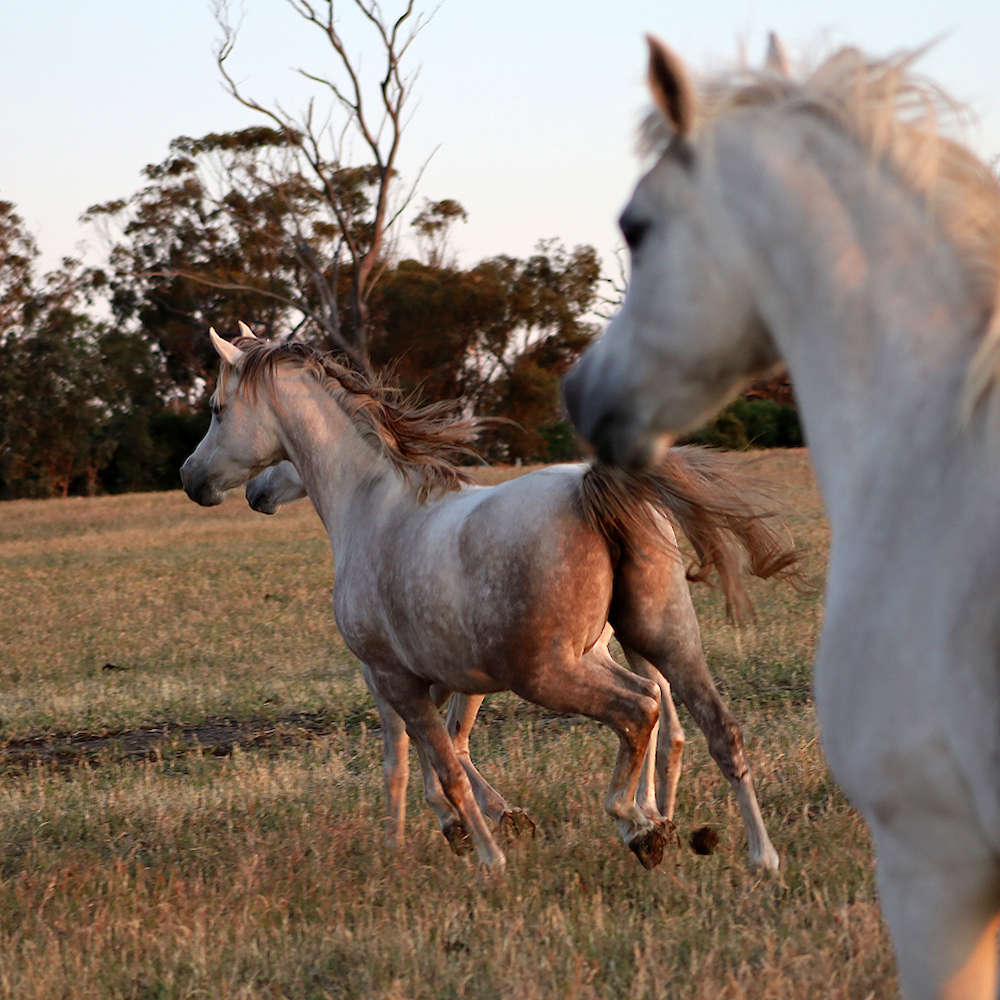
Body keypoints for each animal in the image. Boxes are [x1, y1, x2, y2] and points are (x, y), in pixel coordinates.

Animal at [180, 327, 798, 872]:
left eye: (216, 407)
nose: (191, 478)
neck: (370, 504)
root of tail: (594, 488)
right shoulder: (442, 678)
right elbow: (441, 754)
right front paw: (472, 832)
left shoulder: (391, 677)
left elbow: (434, 762)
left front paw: (482, 853)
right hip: (660, 639)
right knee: (708, 727)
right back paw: (750, 854)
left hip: (550, 673)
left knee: (639, 711)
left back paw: (637, 824)